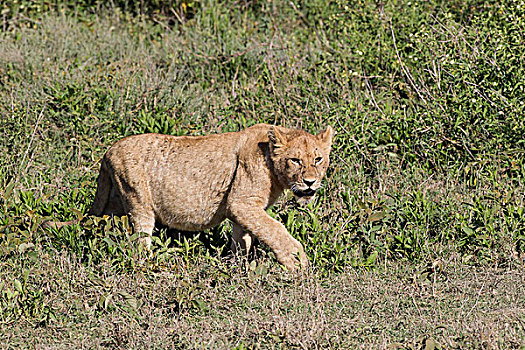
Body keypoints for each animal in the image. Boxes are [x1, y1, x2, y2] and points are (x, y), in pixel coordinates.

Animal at [55, 123, 332, 270]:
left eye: (318, 159)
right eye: (296, 160)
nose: (310, 181)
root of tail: (108, 151)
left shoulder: (240, 208)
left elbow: (243, 237)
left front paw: (238, 266)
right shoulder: (241, 202)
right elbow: (274, 229)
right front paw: (297, 262)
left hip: (113, 204)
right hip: (138, 200)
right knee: (139, 244)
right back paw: (152, 267)